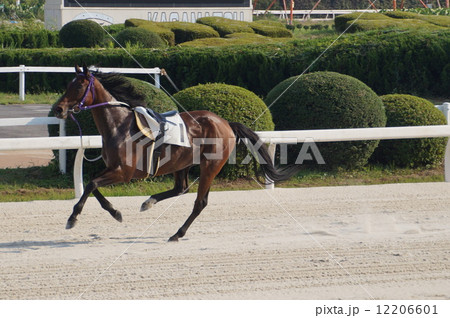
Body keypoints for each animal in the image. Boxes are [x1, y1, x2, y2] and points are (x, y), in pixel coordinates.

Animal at [53, 66, 298, 242]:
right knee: (181, 188)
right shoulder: (113, 168)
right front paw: (115, 212)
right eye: (67, 84)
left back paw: (177, 233)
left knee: (200, 202)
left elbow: (92, 184)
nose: (58, 109)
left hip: (210, 166)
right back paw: (149, 202)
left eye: (79, 86)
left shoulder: (124, 172)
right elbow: (91, 185)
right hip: (182, 163)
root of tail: (226, 122)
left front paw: (72, 218)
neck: (119, 125)